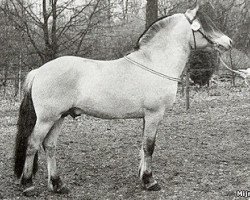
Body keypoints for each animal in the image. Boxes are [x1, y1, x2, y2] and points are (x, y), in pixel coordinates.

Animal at [13, 3, 232, 196]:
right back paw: (28, 185)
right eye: (205, 24)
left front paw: (142, 176)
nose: (228, 42)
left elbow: (143, 147)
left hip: (59, 117)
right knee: (32, 144)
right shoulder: (154, 115)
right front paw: (150, 181)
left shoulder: (146, 117)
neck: (155, 63)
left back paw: (58, 185)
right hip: (46, 119)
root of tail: (39, 71)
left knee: (49, 146)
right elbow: (149, 146)